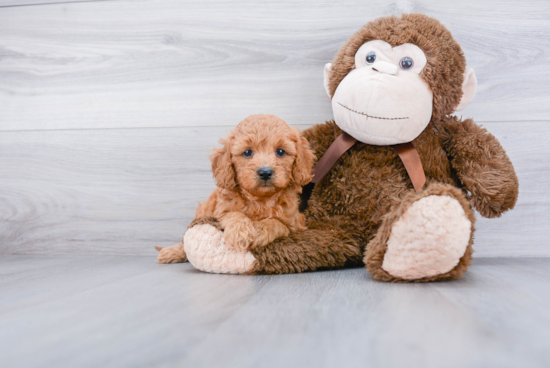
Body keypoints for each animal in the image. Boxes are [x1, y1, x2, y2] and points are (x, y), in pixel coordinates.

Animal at [157, 113, 316, 264]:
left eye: (281, 152)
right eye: (247, 152)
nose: (265, 172)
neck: (260, 199)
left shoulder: (294, 224)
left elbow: (277, 223)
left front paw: (259, 232)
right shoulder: (221, 210)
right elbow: (234, 214)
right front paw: (240, 234)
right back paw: (171, 252)